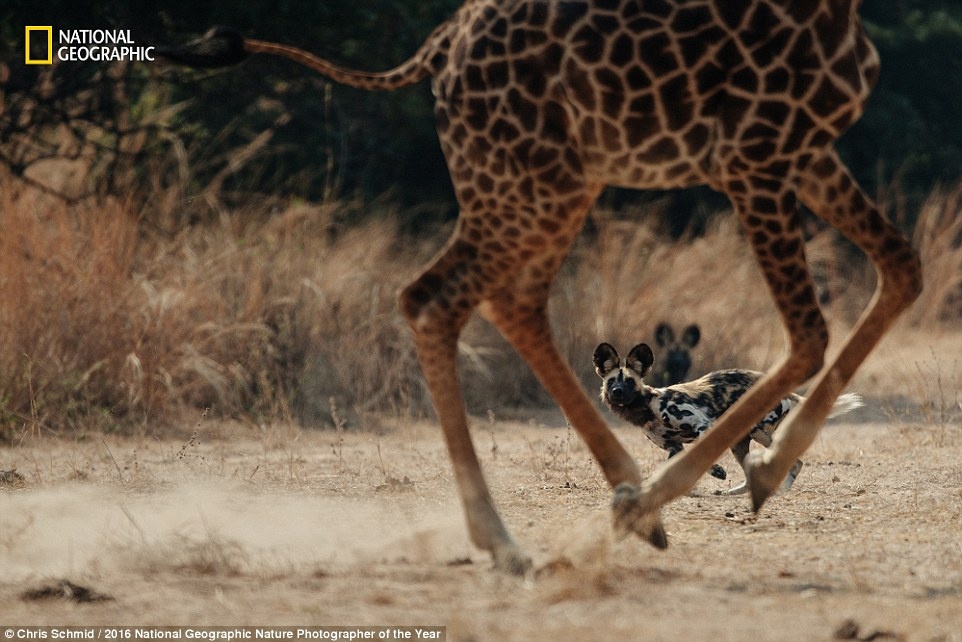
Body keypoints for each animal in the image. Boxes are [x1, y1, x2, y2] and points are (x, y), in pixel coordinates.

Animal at [592, 342, 864, 492]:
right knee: (753, 475)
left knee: (795, 462)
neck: (648, 407)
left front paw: (717, 472)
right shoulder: (673, 447)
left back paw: (781, 490)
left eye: (629, 381)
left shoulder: (703, 425)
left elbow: (703, 455)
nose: (617, 393)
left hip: (757, 431)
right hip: (739, 443)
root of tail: (785, 389)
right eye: (611, 381)